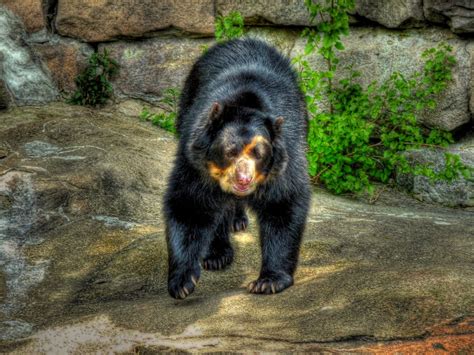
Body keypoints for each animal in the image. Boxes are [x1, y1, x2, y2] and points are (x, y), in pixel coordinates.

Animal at [164, 38, 312, 300]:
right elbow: (189, 204)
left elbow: (283, 203)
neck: (246, 104)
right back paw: (217, 253)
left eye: (259, 154)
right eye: (230, 151)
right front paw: (182, 281)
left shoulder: (286, 155)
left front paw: (268, 281)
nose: (243, 179)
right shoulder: (195, 161)